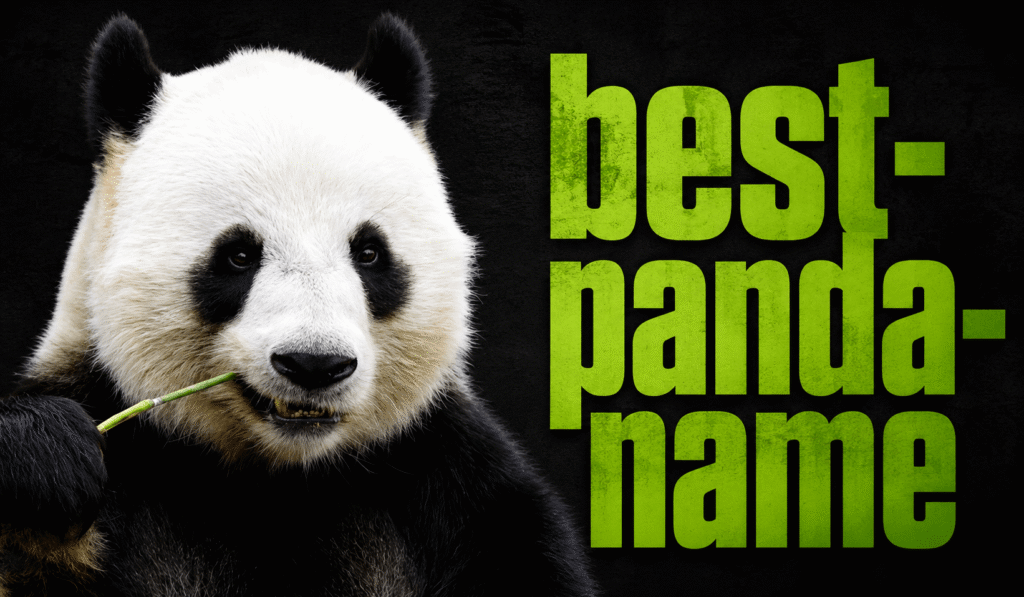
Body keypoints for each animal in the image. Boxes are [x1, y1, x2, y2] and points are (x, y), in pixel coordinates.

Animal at [0, 14, 594, 597]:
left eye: (369, 252)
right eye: (239, 255)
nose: (315, 364)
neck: (283, 479)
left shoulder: (446, 476)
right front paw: (48, 463)